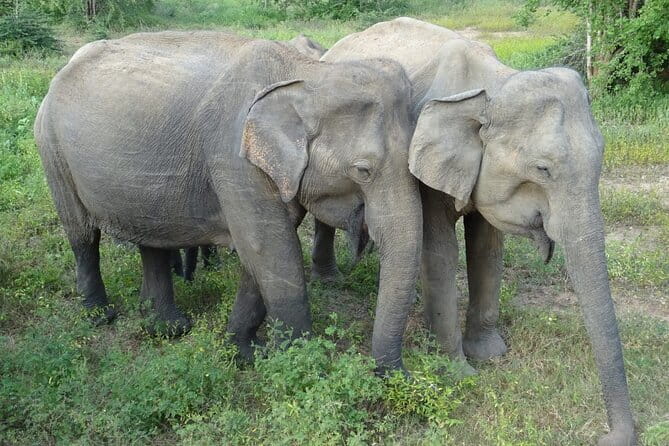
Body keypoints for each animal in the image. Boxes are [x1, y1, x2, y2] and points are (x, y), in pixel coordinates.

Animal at [34, 31, 422, 374]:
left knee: (150, 240)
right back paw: (102, 316)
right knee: (83, 236)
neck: (310, 73)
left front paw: (244, 352)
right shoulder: (233, 158)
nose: (399, 375)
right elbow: (270, 247)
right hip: (52, 149)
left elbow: (259, 252)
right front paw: (299, 362)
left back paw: (168, 327)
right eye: (363, 170)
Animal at [321, 18, 635, 445]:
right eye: (542, 169)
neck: (492, 84)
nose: (607, 437)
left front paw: (489, 354)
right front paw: (457, 371)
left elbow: (487, 247)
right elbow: (439, 250)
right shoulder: (422, 159)